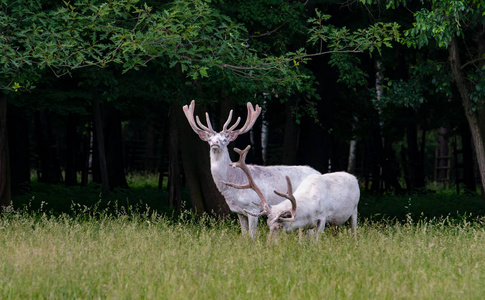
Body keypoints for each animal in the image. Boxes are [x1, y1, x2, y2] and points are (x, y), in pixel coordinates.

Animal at [182, 100, 318, 237]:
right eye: (210, 139)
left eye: (224, 139)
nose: (215, 143)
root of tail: (318, 172)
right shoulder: (239, 212)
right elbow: (244, 234)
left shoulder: (253, 208)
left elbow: (252, 236)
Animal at [223, 144, 360, 240]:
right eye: (268, 225)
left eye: (279, 226)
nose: (269, 243)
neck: (310, 210)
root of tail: (355, 178)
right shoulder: (304, 225)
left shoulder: (323, 218)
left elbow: (316, 241)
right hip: (335, 223)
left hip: (354, 209)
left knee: (354, 230)